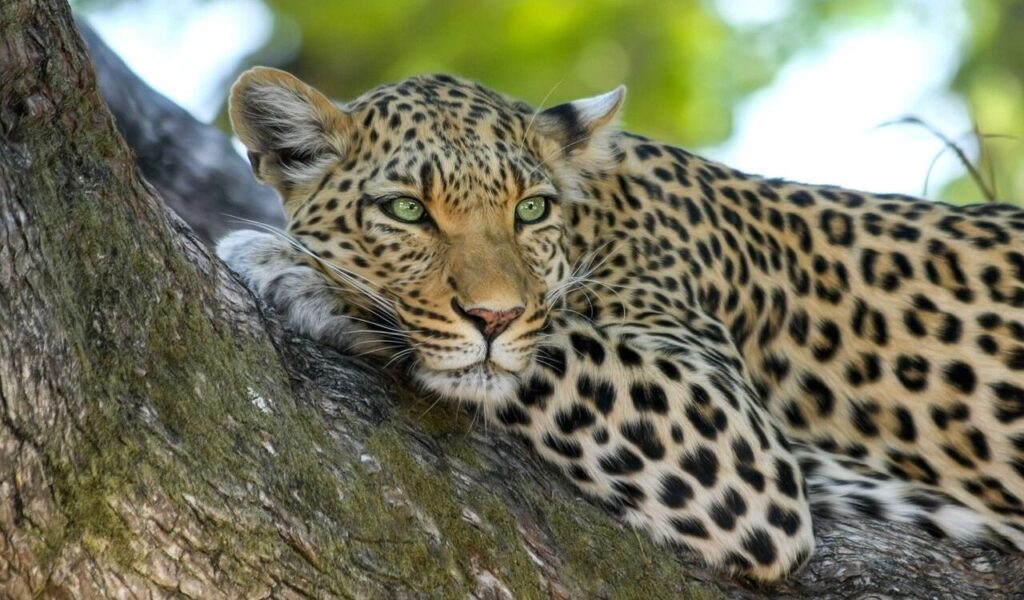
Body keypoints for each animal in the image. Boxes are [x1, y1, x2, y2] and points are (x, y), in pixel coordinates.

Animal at [216, 66, 1024, 581]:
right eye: (407, 210)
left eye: (530, 209)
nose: (493, 315)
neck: (596, 218)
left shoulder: (735, 440)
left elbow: (551, 345)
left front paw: (296, 269)